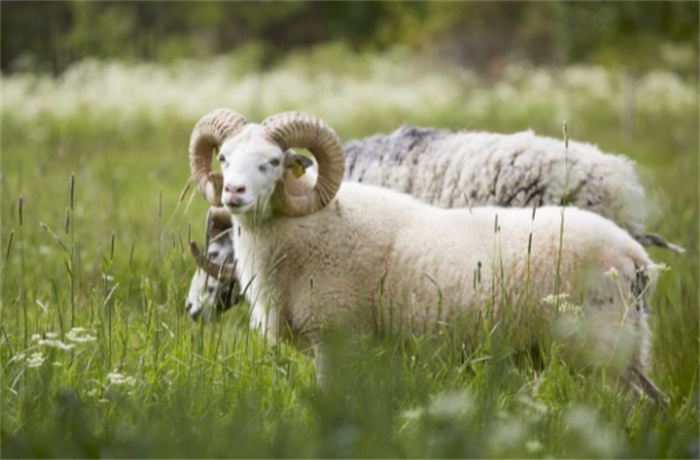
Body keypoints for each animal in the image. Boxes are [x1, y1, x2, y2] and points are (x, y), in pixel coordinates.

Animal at [186, 108, 668, 402]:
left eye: (272, 162)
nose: (233, 192)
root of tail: (635, 257)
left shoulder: (337, 337)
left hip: (603, 346)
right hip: (620, 348)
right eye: (223, 157)